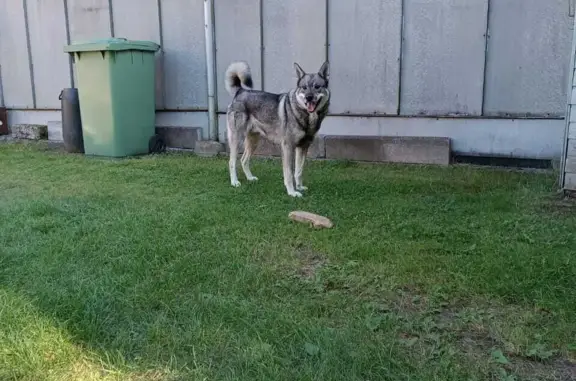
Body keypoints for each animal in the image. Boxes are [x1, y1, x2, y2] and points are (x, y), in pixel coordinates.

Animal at [222, 60, 328, 196]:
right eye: (304, 87)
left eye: (317, 87)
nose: (308, 97)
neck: (306, 116)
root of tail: (240, 91)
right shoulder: (288, 147)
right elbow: (289, 172)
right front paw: (292, 192)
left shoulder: (303, 147)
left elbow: (299, 171)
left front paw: (299, 187)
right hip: (237, 139)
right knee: (232, 162)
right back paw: (234, 182)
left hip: (253, 142)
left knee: (244, 160)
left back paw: (250, 178)